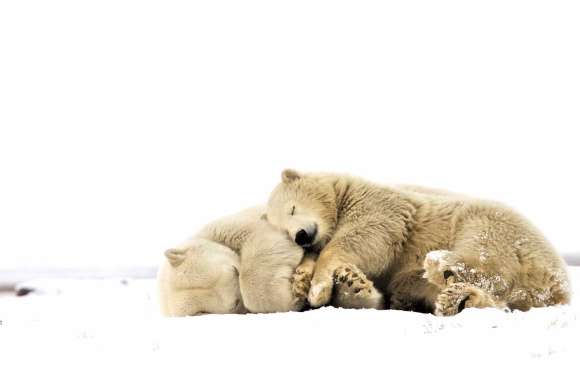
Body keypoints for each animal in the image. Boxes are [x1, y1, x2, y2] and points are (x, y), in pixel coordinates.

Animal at [266, 169, 572, 314]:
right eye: (283, 232)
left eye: (291, 208)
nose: (301, 235)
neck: (345, 194)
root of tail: (559, 285)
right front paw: (306, 280)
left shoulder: (380, 204)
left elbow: (372, 234)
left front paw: (318, 287)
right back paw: (457, 299)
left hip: (496, 224)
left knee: (484, 249)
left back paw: (441, 266)